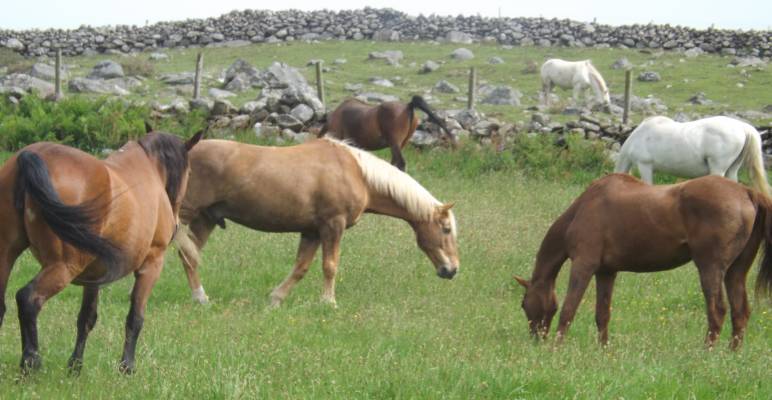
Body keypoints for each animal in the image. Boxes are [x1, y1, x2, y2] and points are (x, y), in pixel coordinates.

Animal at [0, 127, 202, 372]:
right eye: (190, 172)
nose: (176, 226)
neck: (149, 167)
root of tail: (31, 156)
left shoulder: (94, 275)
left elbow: (86, 318)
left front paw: (75, 366)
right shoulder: (152, 263)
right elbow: (135, 318)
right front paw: (127, 367)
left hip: (5, 255)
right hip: (63, 266)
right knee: (29, 299)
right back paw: (31, 362)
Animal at [175, 138, 458, 306]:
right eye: (445, 230)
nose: (452, 270)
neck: (356, 172)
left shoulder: (311, 232)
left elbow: (301, 267)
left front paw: (276, 299)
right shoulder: (333, 225)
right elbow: (330, 266)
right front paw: (328, 302)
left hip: (205, 219)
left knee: (189, 256)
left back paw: (200, 297)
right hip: (185, 214)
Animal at [512, 173, 772, 348]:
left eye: (524, 304)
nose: (536, 339)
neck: (582, 209)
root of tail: (747, 192)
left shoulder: (583, 265)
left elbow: (568, 309)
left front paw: (557, 348)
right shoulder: (606, 272)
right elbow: (602, 314)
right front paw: (603, 350)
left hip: (710, 268)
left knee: (717, 310)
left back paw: (706, 353)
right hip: (735, 272)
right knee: (740, 312)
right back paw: (731, 353)